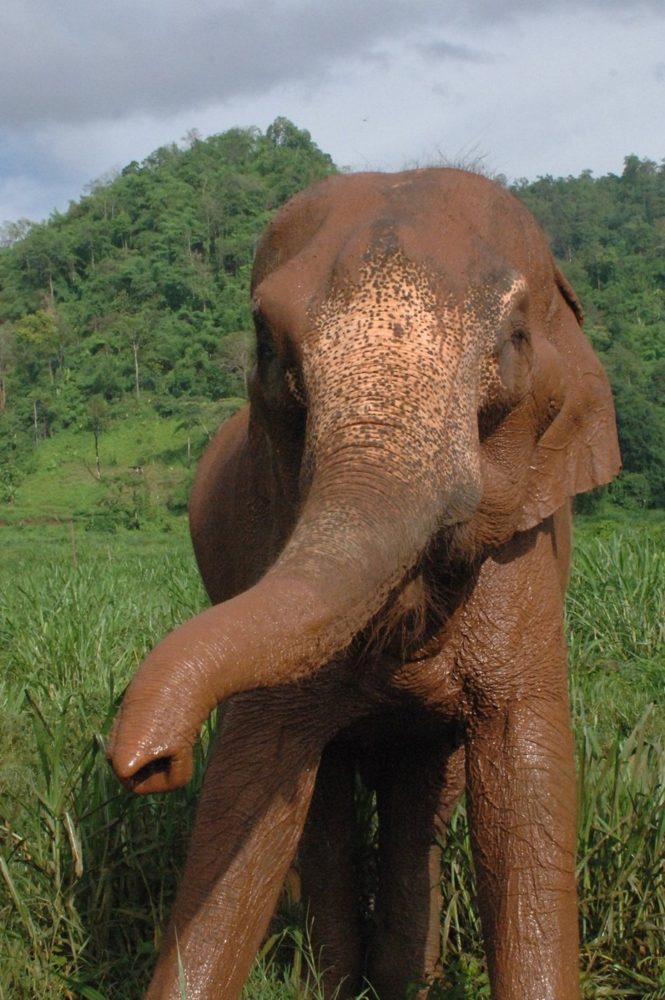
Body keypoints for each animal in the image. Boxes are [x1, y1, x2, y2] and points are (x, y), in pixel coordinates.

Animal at [107, 168, 620, 1000]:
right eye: (267, 345)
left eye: (513, 340)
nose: (146, 763)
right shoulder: (268, 529)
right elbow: (252, 778)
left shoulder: (525, 552)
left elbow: (525, 766)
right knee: (321, 797)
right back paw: (344, 980)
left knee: (422, 792)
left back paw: (399, 978)